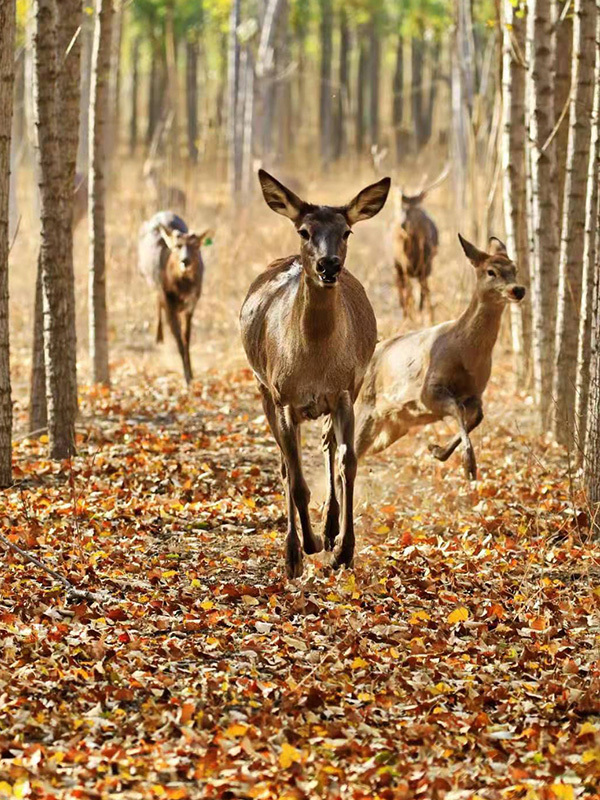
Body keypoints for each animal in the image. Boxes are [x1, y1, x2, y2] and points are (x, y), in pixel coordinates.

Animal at [137, 209, 212, 384]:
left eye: (195, 245)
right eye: (178, 246)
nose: (185, 261)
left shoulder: (192, 303)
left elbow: (186, 338)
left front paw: (191, 373)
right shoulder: (168, 300)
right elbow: (178, 340)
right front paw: (186, 377)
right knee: (157, 302)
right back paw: (159, 337)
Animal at [239, 172, 390, 580]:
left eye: (347, 231)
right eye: (304, 230)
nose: (328, 265)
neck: (313, 361)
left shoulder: (343, 391)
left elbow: (348, 463)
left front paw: (343, 549)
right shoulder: (283, 397)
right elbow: (295, 479)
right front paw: (304, 547)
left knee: (327, 447)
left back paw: (331, 526)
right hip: (263, 389)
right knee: (284, 466)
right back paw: (299, 546)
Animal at [354, 234, 528, 478]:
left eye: (514, 269)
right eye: (491, 271)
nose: (518, 289)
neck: (465, 352)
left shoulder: (475, 394)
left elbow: (476, 417)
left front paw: (437, 450)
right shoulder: (428, 390)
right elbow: (457, 411)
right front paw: (468, 464)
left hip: (391, 428)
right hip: (365, 408)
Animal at [392, 164, 448, 320]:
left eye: (416, 209)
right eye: (400, 207)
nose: (402, 224)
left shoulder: (427, 264)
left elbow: (424, 291)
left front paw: (426, 314)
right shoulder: (402, 263)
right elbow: (408, 291)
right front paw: (411, 315)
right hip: (397, 266)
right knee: (401, 289)